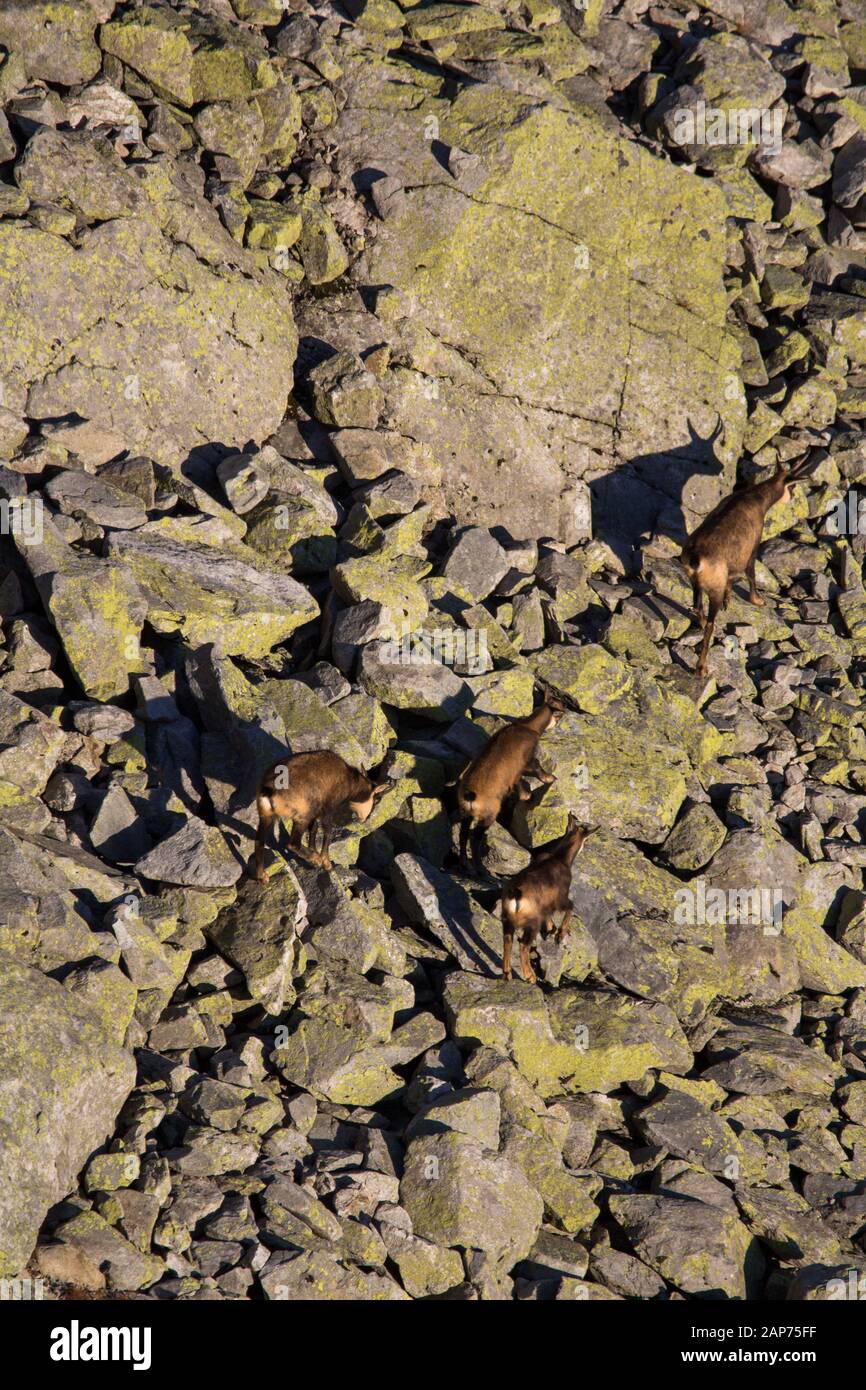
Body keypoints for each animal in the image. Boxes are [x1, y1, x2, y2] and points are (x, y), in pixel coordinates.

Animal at [253, 750, 388, 880]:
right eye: (376, 800)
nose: (364, 819)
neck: (349, 781)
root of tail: (270, 789)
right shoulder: (327, 809)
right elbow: (328, 831)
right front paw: (326, 863)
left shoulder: (316, 812)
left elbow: (314, 828)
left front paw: (314, 851)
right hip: (302, 816)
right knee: (293, 843)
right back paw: (315, 859)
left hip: (266, 816)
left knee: (259, 842)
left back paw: (262, 876)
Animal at [456, 694, 563, 876]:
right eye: (558, 712)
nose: (559, 721)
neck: (528, 727)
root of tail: (470, 795)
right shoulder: (525, 761)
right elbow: (535, 766)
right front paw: (548, 779)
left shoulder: (513, 774)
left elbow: (518, 782)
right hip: (489, 814)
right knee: (475, 837)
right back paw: (481, 869)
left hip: (466, 814)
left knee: (463, 835)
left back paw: (466, 865)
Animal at [501, 813, 592, 984]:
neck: (561, 859)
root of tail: (515, 895)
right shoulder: (561, 899)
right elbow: (571, 906)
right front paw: (559, 934)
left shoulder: (547, 905)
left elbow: (549, 914)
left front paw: (551, 929)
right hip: (532, 923)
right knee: (523, 945)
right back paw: (530, 977)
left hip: (507, 921)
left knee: (507, 941)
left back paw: (508, 975)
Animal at [680, 454, 817, 677]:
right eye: (793, 486)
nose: (792, 497)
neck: (756, 498)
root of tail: (696, 559)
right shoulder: (752, 546)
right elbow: (751, 573)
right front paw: (758, 600)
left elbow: (733, 578)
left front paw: (729, 599)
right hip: (714, 588)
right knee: (710, 623)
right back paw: (701, 667)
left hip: (695, 583)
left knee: (698, 607)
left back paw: (700, 623)